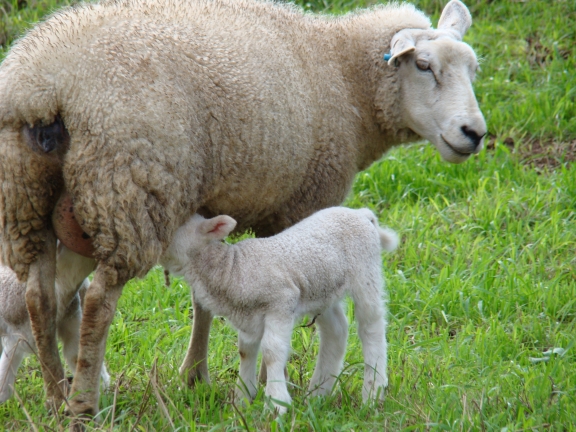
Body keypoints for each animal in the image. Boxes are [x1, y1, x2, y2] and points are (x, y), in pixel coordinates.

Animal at [160, 208, 398, 414]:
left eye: (174, 228)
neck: (231, 268)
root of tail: (362, 214)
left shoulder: (282, 302)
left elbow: (272, 351)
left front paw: (276, 404)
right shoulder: (247, 316)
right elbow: (245, 351)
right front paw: (242, 399)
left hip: (365, 272)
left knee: (371, 326)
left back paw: (373, 392)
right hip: (323, 288)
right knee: (336, 330)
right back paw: (318, 393)